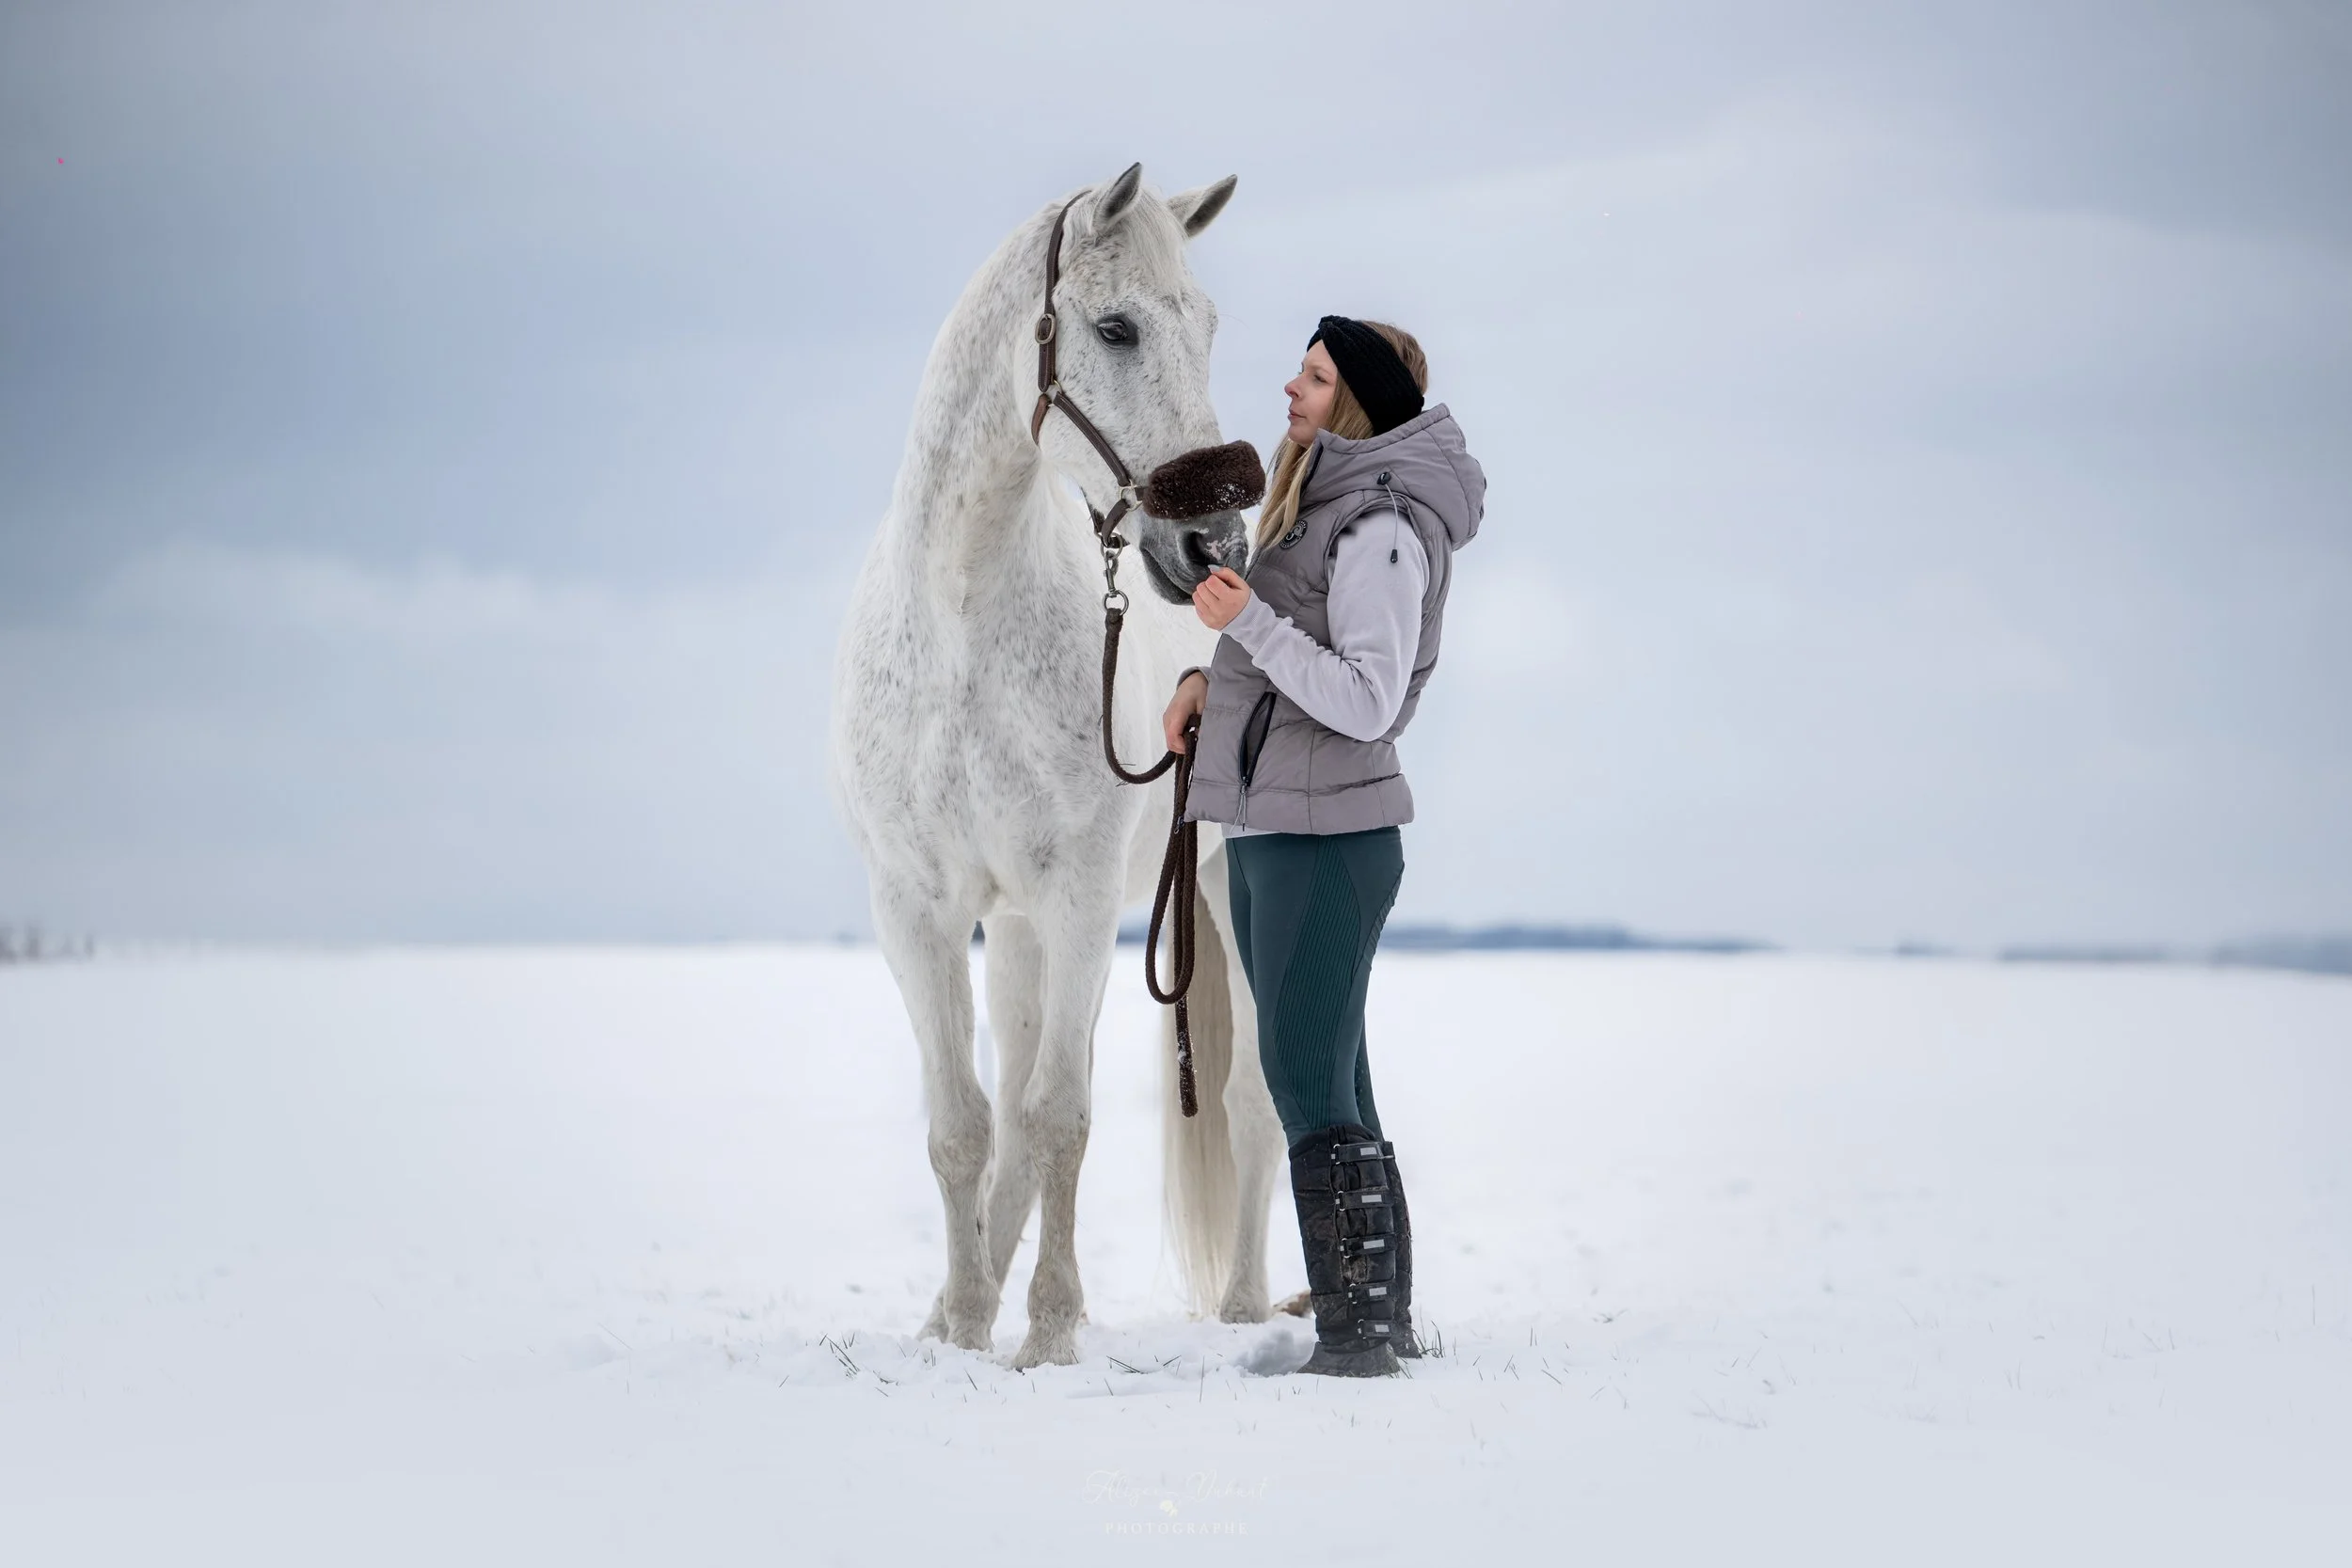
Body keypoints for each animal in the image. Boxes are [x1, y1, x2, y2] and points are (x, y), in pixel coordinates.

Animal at [828, 164, 1288, 1368]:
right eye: (1116, 327)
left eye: (1206, 327)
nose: (1215, 547)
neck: (960, 618)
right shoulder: (920, 910)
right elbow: (965, 1127)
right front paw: (961, 1325)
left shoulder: (1080, 901)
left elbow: (1056, 1117)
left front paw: (1043, 1335)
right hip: (1021, 929)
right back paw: (958, 1302)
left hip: (1223, 881)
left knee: (1249, 1099)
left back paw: (1243, 1308)